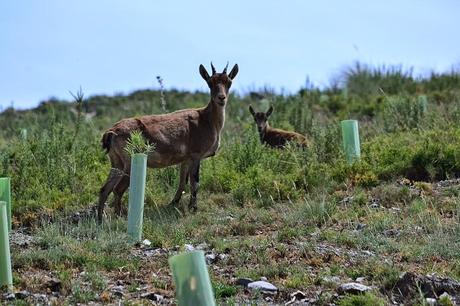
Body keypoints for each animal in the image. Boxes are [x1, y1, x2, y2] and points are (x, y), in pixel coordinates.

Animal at [98, 63, 239, 221]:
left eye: (229, 82)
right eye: (210, 82)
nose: (221, 98)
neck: (206, 120)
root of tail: (111, 132)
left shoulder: (186, 160)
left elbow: (182, 182)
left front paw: (174, 203)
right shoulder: (196, 156)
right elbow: (195, 182)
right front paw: (193, 208)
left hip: (116, 163)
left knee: (105, 189)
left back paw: (100, 219)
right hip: (129, 163)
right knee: (118, 189)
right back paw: (120, 216)